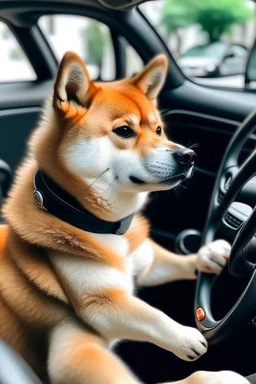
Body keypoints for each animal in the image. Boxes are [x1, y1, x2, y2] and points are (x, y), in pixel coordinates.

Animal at [0, 51, 246, 384]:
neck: (105, 227)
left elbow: (174, 262)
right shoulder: (94, 311)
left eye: (158, 130)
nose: (188, 156)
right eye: (124, 131)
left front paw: (209, 255)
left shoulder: (144, 261)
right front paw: (192, 348)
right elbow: (148, 314)